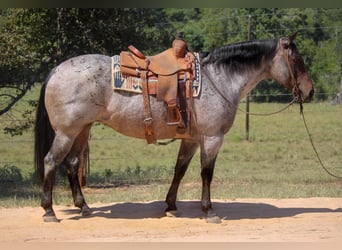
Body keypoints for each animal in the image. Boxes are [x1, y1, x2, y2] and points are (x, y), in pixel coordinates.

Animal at [34, 33, 312, 223]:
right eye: (297, 60)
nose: (309, 92)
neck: (219, 78)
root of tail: (57, 69)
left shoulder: (191, 138)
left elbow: (180, 169)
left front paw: (170, 205)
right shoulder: (212, 138)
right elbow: (206, 173)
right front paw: (209, 211)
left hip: (82, 129)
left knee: (71, 164)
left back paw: (84, 207)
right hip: (66, 133)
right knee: (51, 161)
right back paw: (49, 211)